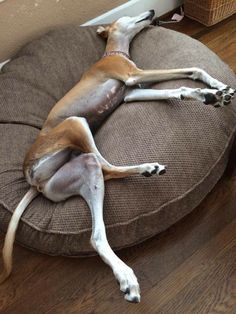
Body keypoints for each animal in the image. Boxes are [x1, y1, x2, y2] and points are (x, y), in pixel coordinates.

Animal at [0, 11, 235, 302]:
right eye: (128, 14)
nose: (152, 12)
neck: (115, 52)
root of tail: (32, 179)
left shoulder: (133, 91)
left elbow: (178, 86)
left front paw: (211, 91)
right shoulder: (132, 75)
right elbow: (192, 68)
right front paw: (211, 91)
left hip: (82, 169)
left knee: (97, 231)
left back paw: (125, 275)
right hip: (76, 124)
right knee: (107, 166)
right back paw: (147, 167)